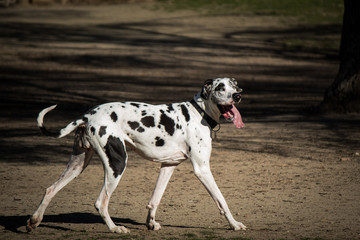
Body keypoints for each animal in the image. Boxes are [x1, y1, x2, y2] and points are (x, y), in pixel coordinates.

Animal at [26, 78, 248, 233]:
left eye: (234, 84)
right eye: (221, 87)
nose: (237, 95)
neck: (199, 112)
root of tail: (87, 116)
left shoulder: (168, 166)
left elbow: (155, 199)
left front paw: (151, 223)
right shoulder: (202, 170)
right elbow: (222, 200)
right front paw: (235, 224)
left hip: (77, 165)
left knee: (50, 189)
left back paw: (34, 221)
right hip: (117, 164)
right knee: (101, 202)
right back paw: (115, 228)